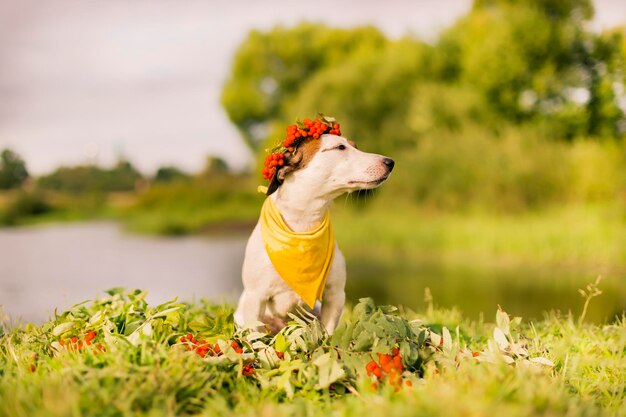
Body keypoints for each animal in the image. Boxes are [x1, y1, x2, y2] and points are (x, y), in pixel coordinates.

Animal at [234, 132, 394, 334]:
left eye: (355, 146)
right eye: (340, 147)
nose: (390, 162)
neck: (304, 224)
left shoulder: (335, 295)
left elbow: (328, 332)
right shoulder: (255, 297)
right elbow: (254, 334)